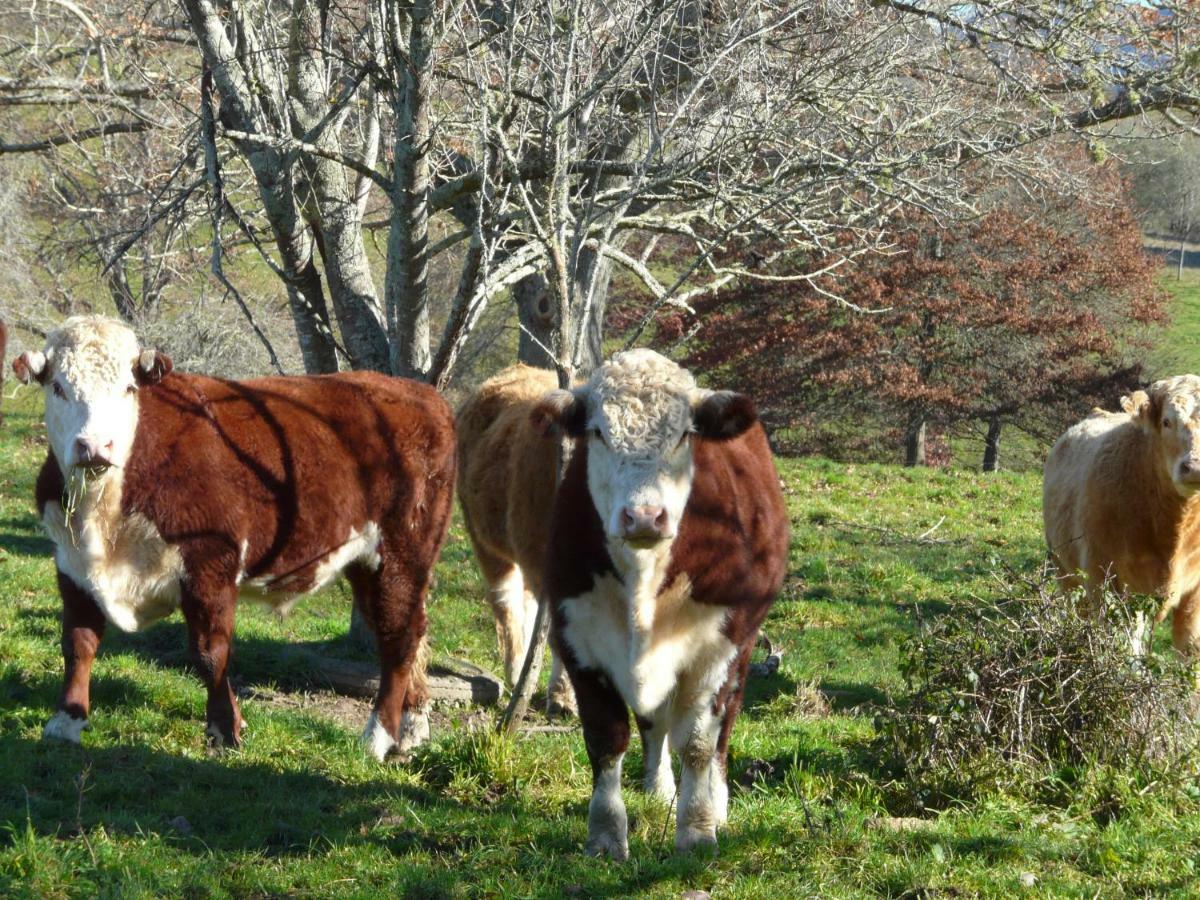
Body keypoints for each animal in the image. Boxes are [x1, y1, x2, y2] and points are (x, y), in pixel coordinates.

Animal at [532, 348, 792, 859]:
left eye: (685, 434)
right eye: (598, 432)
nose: (644, 516)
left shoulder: (717, 648)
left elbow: (697, 743)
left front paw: (697, 830)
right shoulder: (578, 640)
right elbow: (607, 739)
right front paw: (606, 835)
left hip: (745, 647)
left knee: (722, 731)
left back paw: (718, 801)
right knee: (653, 724)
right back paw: (657, 788)